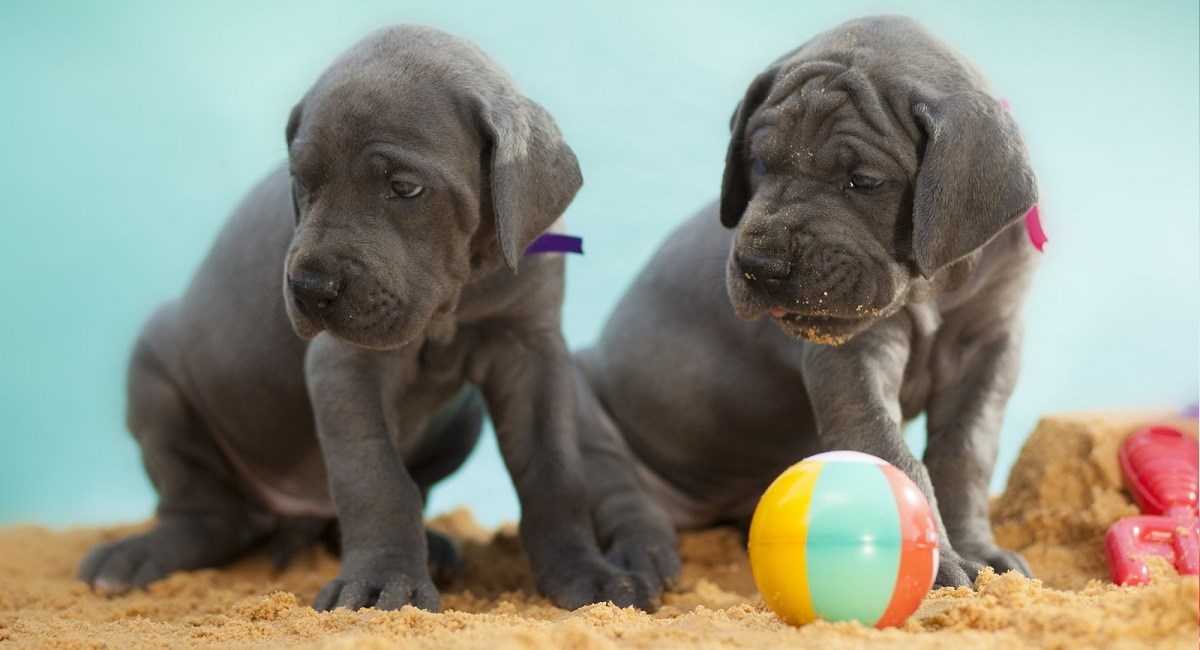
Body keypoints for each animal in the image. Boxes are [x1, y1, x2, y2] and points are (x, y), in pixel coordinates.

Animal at [78, 25, 652, 614]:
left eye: (403, 187)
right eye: (302, 183)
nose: (309, 289)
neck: (459, 294)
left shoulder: (530, 353)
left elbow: (553, 470)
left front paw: (586, 575)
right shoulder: (346, 364)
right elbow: (375, 476)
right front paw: (383, 583)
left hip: (462, 420)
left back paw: (434, 548)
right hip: (156, 379)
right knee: (204, 509)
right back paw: (137, 555)